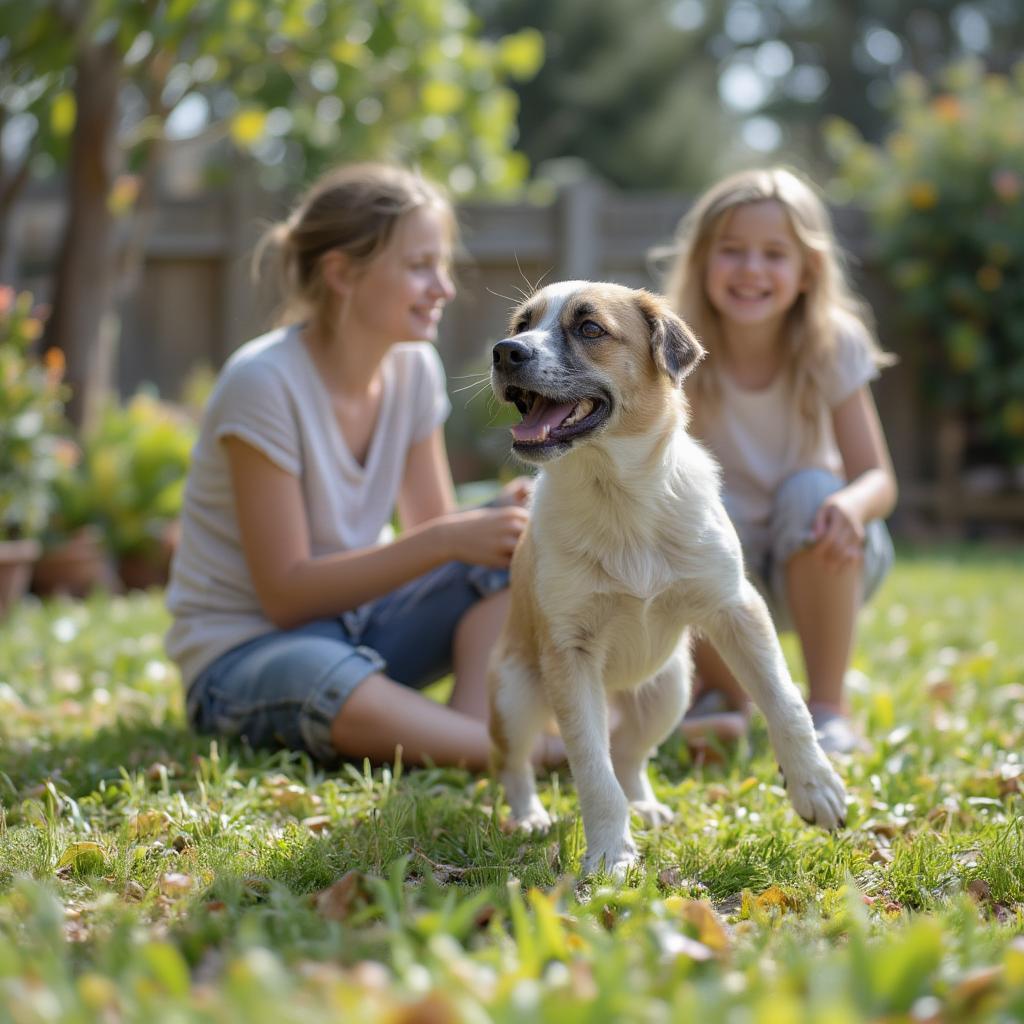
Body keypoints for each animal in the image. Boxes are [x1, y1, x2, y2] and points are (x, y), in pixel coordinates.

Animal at [487, 282, 847, 880]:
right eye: (521, 323)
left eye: (589, 328)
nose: (504, 351)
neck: (618, 499)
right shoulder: (569, 654)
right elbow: (593, 771)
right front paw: (610, 855)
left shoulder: (737, 608)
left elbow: (785, 702)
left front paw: (815, 787)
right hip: (516, 698)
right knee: (518, 765)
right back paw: (531, 817)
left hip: (669, 693)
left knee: (630, 753)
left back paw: (646, 806)